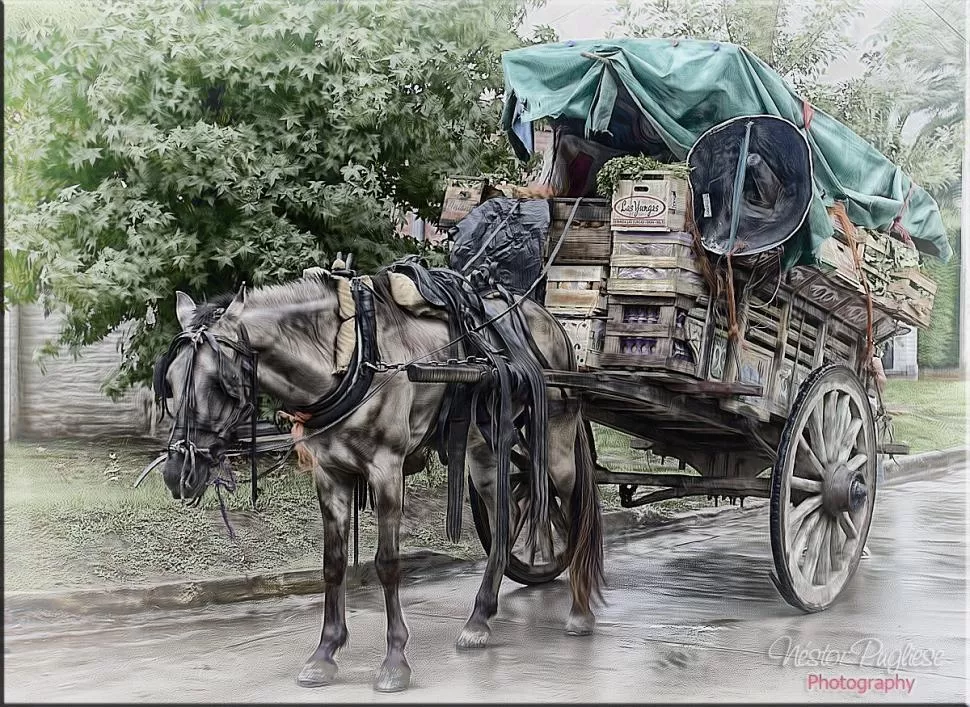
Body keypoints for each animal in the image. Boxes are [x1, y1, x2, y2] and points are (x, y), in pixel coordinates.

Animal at [154, 260, 600, 692]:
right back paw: (479, 618)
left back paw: (580, 612)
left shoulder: (387, 470)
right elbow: (333, 563)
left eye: (220, 382)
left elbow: (387, 563)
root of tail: (548, 318)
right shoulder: (330, 474)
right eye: (170, 383)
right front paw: (325, 653)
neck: (350, 356)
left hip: (555, 441)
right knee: (505, 518)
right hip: (483, 448)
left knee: (571, 507)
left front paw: (395, 660)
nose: (179, 472)